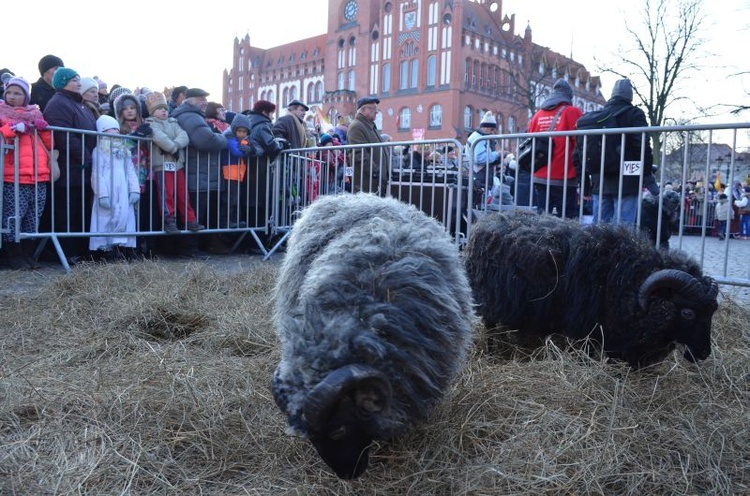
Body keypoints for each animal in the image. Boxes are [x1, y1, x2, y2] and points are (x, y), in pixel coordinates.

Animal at [468, 209, 720, 368]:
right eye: (687, 312)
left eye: (712, 311)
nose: (704, 353)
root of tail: (487, 219)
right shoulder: (587, 331)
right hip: (490, 303)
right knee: (490, 329)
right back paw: (492, 351)